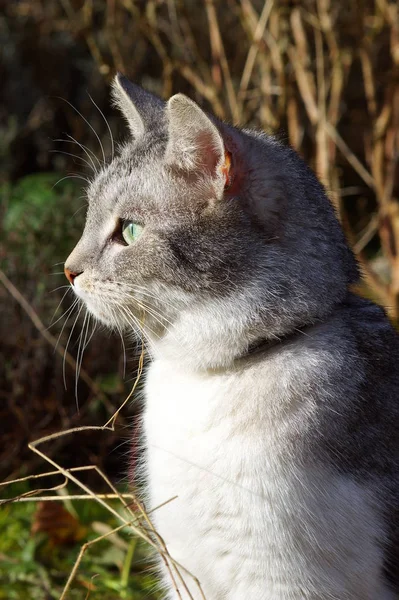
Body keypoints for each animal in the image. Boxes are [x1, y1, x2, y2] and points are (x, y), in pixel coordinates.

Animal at [64, 72, 398, 596]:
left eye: (130, 232)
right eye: (88, 216)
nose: (68, 269)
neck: (208, 381)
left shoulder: (286, 578)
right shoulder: (182, 565)